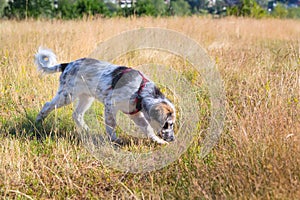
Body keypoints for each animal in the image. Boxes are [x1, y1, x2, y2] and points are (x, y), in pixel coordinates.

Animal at [34, 48, 176, 145]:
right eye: (167, 124)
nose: (173, 139)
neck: (139, 90)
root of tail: (68, 64)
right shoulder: (110, 105)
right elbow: (111, 125)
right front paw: (115, 140)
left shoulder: (134, 113)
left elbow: (148, 129)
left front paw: (158, 141)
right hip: (67, 95)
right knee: (47, 105)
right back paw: (37, 123)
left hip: (86, 97)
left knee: (77, 114)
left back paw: (87, 130)